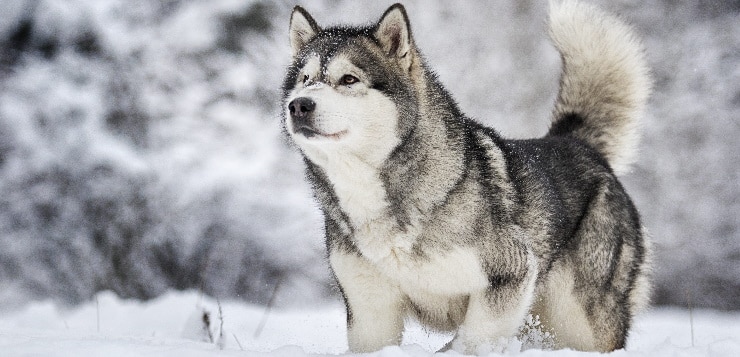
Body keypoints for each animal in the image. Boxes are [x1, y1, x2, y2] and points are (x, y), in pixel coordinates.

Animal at [282, 0, 652, 354]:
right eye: (305, 79)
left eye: (348, 79)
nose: (299, 105)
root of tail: (574, 141)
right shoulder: (371, 310)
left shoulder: (509, 275)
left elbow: (472, 341)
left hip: (580, 320)